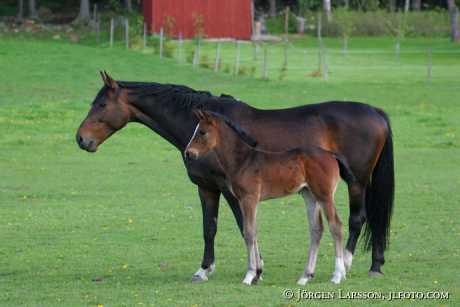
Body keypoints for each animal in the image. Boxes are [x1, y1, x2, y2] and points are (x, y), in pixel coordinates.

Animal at [185, 110, 354, 286]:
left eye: (202, 132)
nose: (188, 153)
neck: (243, 161)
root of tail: (331, 154)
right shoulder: (244, 201)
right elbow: (251, 231)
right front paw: (257, 274)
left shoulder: (249, 199)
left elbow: (249, 232)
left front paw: (250, 275)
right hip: (309, 195)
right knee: (316, 230)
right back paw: (305, 276)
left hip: (324, 195)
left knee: (336, 226)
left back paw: (337, 274)